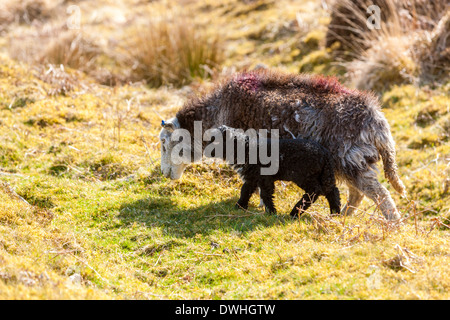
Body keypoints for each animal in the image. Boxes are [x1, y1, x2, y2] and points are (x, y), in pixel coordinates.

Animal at [207, 125, 342, 218]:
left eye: (216, 140)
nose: (205, 151)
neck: (246, 148)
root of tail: (325, 154)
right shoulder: (252, 176)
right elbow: (245, 190)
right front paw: (239, 206)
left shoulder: (264, 177)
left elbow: (265, 194)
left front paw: (271, 212)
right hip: (324, 174)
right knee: (332, 190)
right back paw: (335, 213)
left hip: (304, 175)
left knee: (315, 191)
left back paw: (295, 212)